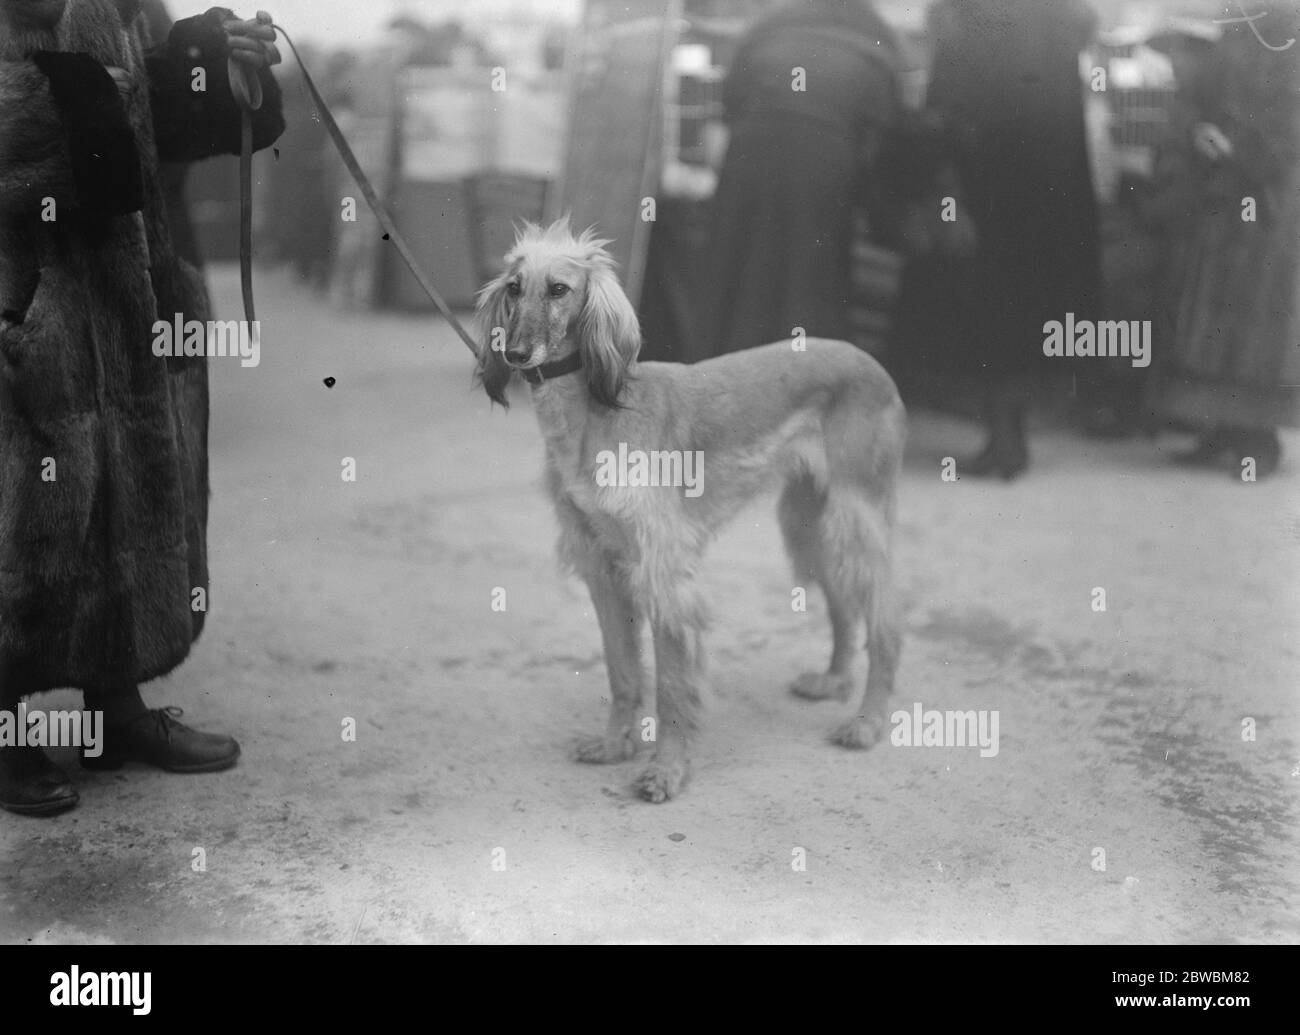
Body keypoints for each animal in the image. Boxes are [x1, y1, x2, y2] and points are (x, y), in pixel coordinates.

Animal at [475, 215, 904, 800]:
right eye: (514, 289)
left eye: (559, 289)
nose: (515, 354)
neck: (596, 415)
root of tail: (871, 360)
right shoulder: (603, 566)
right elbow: (623, 671)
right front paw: (615, 745)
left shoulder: (663, 574)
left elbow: (674, 689)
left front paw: (666, 771)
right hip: (808, 521)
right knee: (843, 603)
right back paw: (834, 681)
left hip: (853, 517)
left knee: (885, 623)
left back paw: (867, 721)